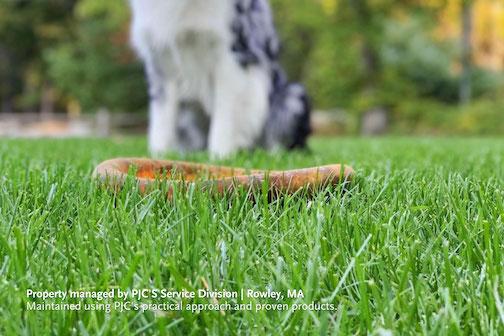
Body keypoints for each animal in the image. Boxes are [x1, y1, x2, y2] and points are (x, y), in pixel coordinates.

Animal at [129, 0, 312, 158]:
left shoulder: (230, 57)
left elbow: (223, 117)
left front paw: (219, 157)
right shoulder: (160, 63)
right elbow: (161, 123)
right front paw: (158, 157)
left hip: (292, 96)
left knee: (281, 144)